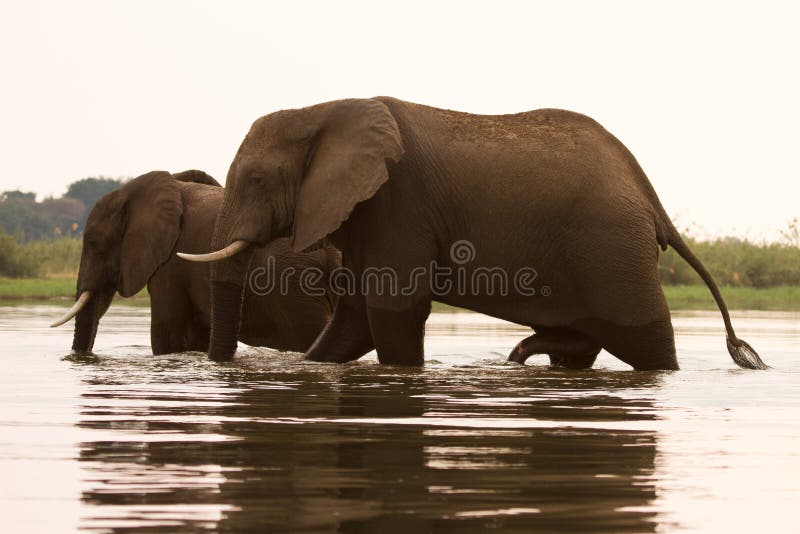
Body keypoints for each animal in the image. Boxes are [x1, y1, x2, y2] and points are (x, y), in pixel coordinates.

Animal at [180, 97, 767, 371]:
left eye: (257, 180)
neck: (327, 109)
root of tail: (648, 194)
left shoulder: (399, 203)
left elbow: (392, 312)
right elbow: (353, 321)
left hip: (613, 250)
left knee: (650, 344)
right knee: (582, 344)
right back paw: (528, 355)